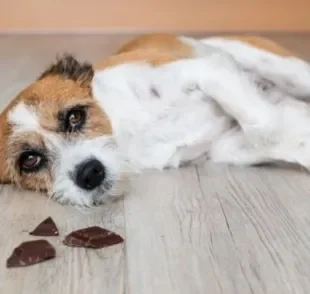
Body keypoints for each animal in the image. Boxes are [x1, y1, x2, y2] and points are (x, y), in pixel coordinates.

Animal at [0, 33, 310, 206]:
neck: (126, 130)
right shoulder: (224, 145)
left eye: (75, 116)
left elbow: (264, 126)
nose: (89, 173)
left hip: (282, 68)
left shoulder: (207, 70)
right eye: (29, 160)